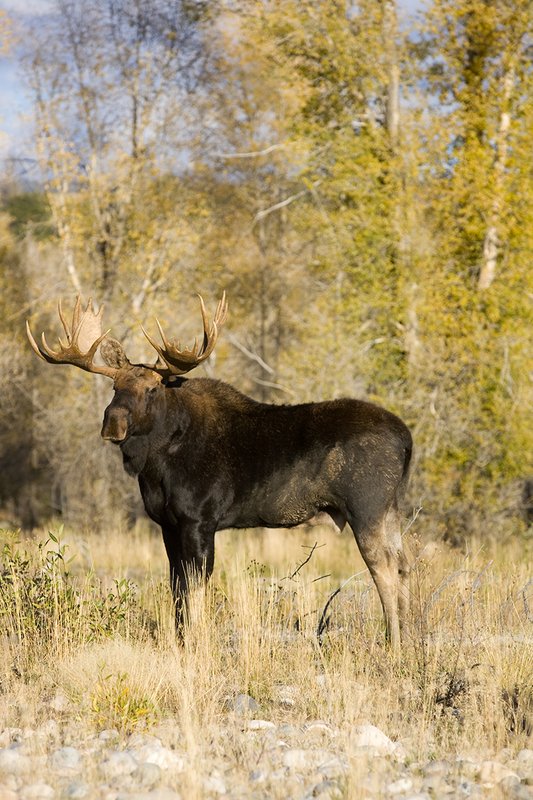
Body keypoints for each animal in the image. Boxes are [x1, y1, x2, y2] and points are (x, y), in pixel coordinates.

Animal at [26, 294, 412, 649]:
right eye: (114, 387)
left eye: (151, 389)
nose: (113, 423)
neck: (155, 467)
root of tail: (407, 439)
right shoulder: (167, 524)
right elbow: (176, 587)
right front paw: (181, 641)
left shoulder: (199, 519)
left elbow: (196, 587)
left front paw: (197, 643)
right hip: (391, 510)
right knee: (403, 564)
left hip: (367, 508)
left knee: (384, 568)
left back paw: (393, 643)